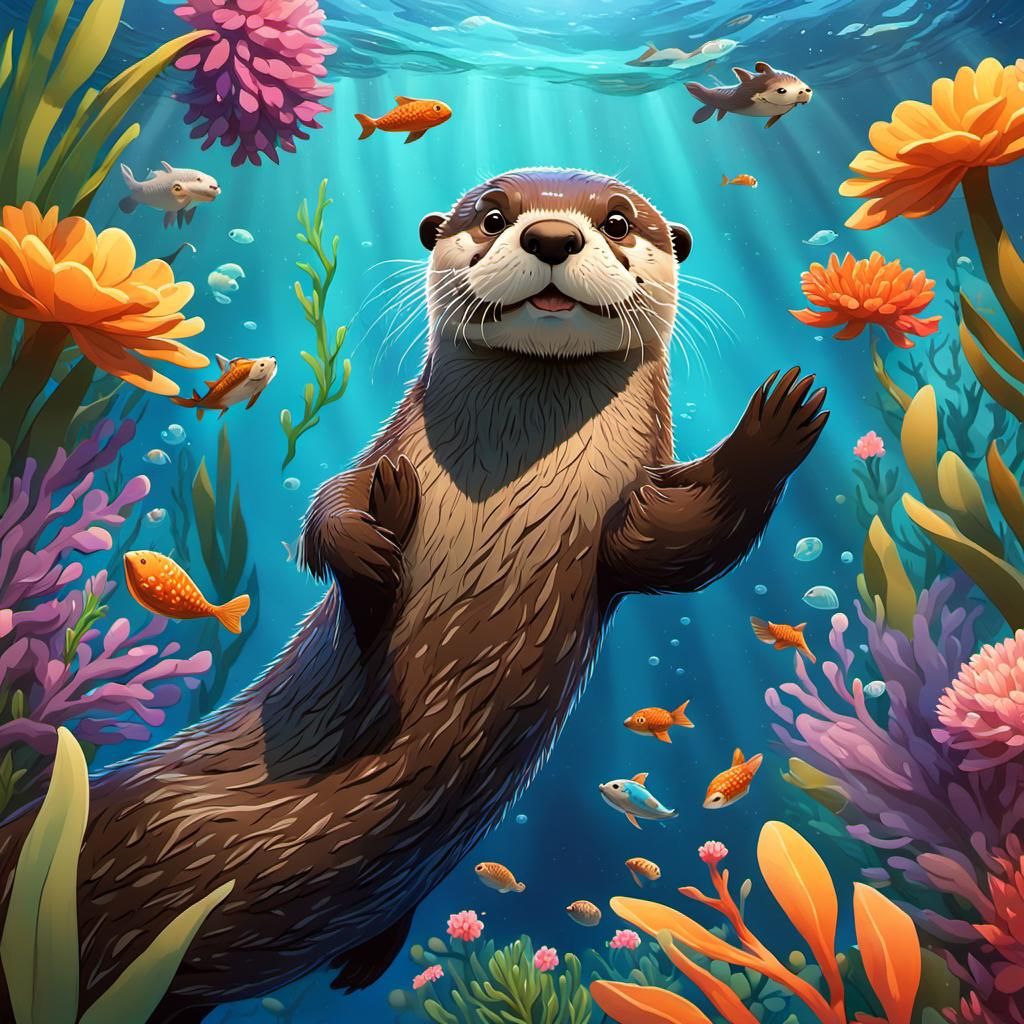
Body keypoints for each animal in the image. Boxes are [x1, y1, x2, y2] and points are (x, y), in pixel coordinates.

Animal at [0, 168, 827, 1023]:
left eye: (621, 223)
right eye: (492, 216)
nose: (553, 236)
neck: (510, 483)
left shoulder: (625, 515)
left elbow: (684, 545)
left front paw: (778, 419)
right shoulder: (382, 458)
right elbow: (329, 512)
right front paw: (374, 541)